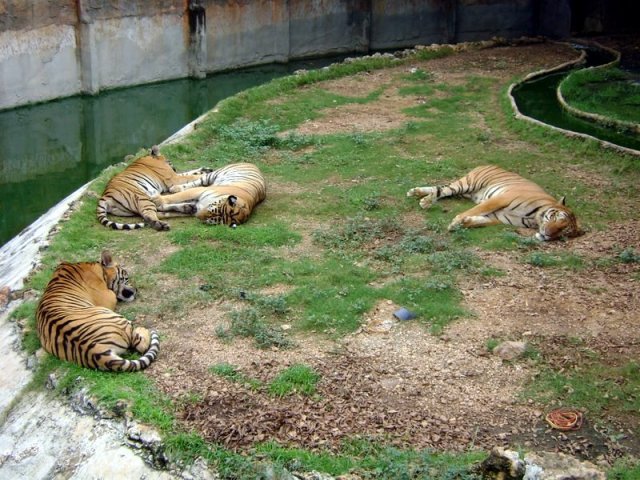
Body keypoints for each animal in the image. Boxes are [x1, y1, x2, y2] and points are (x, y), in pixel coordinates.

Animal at [408, 165, 584, 242]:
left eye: (563, 231)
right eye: (555, 219)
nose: (547, 233)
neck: (534, 219)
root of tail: (486, 164)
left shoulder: (498, 217)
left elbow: (480, 220)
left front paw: (465, 222)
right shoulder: (500, 199)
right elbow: (475, 210)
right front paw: (456, 222)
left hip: (463, 191)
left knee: (441, 188)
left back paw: (416, 193)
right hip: (467, 184)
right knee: (442, 189)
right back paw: (425, 200)